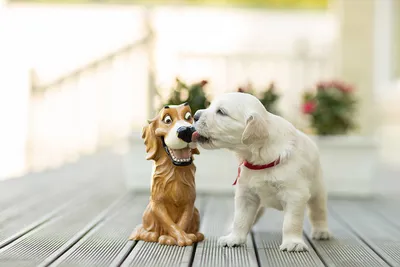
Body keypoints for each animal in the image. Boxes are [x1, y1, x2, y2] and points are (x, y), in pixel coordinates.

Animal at [192, 92, 330, 253]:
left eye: (221, 112)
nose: (195, 115)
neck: (258, 157)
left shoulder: (295, 195)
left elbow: (291, 222)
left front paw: (292, 242)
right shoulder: (246, 195)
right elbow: (240, 219)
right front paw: (234, 238)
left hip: (317, 191)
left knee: (318, 212)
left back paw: (321, 231)